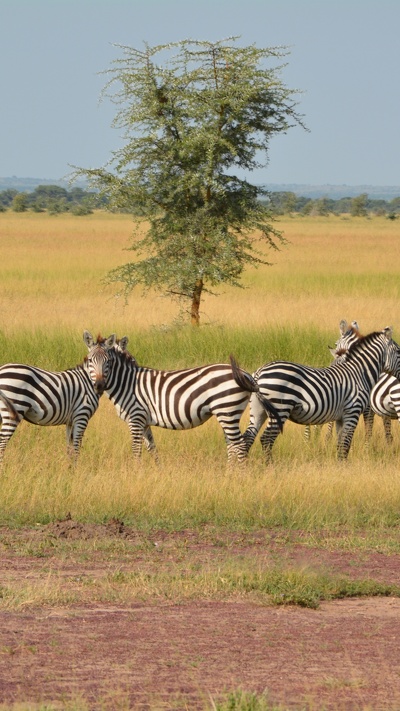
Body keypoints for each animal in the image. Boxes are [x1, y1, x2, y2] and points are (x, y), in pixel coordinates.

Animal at [0, 330, 115, 464]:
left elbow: (69, 448)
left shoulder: (70, 421)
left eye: (108, 361)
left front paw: (69, 467)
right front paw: (76, 468)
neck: (87, 381)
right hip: (14, 411)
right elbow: (76, 448)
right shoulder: (81, 416)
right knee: (2, 444)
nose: (99, 385)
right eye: (90, 360)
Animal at [85, 340, 282, 468]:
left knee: (239, 444)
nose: (99, 386)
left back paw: (238, 476)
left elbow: (136, 449)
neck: (127, 383)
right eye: (89, 361)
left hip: (227, 409)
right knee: (233, 444)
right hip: (228, 413)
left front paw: (135, 471)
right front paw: (158, 471)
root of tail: (246, 374)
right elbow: (152, 448)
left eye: (109, 362)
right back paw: (228, 473)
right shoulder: (144, 421)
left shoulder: (136, 418)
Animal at [233, 328, 400, 462]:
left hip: (258, 410)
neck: (359, 373)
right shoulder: (353, 411)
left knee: (248, 437)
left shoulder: (341, 416)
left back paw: (245, 468)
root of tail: (260, 372)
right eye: (399, 352)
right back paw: (270, 467)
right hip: (280, 408)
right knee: (266, 439)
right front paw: (344, 468)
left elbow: (340, 443)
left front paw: (340, 467)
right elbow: (346, 444)